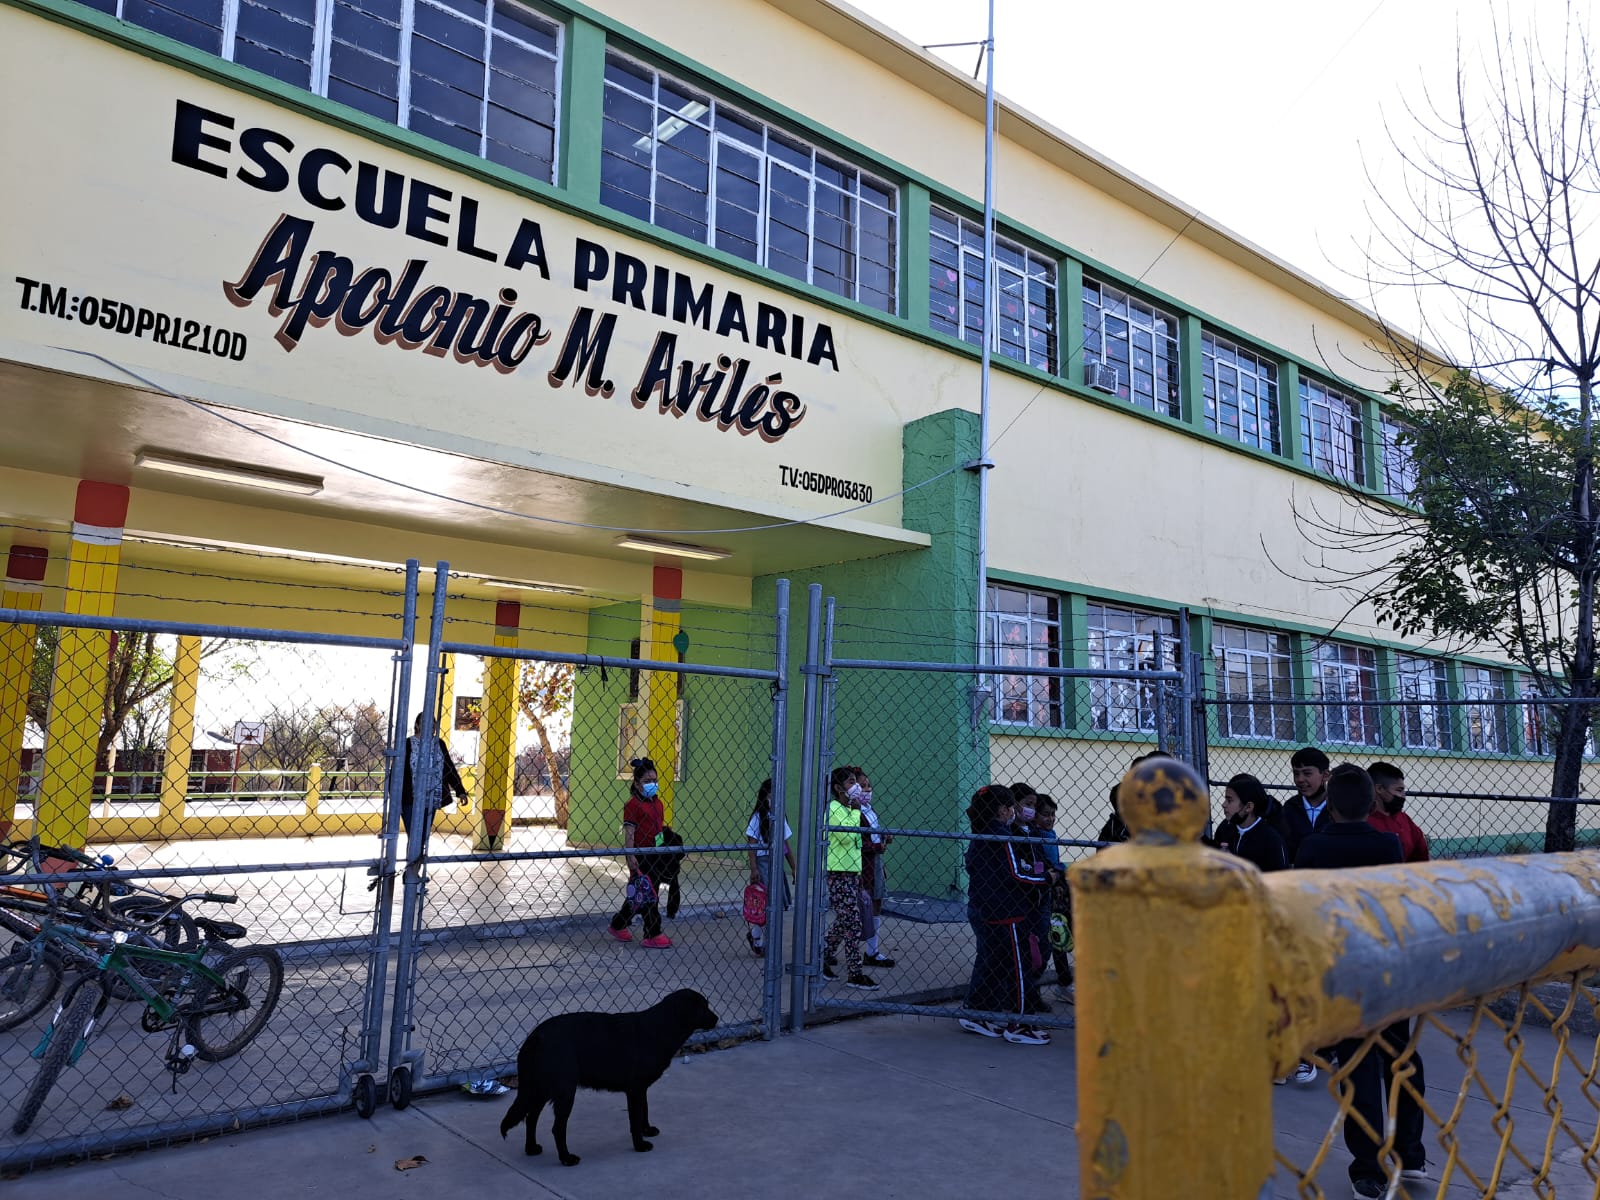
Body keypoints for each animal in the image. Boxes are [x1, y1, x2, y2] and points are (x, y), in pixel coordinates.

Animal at [499, 985, 720, 1164]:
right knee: (557, 1127)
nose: (717, 1018)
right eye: (702, 1007)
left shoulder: (641, 1088)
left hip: (540, 1088)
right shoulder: (635, 1089)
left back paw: (531, 1149)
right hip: (564, 1091)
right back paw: (567, 1158)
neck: (660, 1028)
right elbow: (635, 1118)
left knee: (531, 1118)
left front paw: (647, 1131)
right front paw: (640, 1145)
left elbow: (645, 1110)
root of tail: (536, 1036)